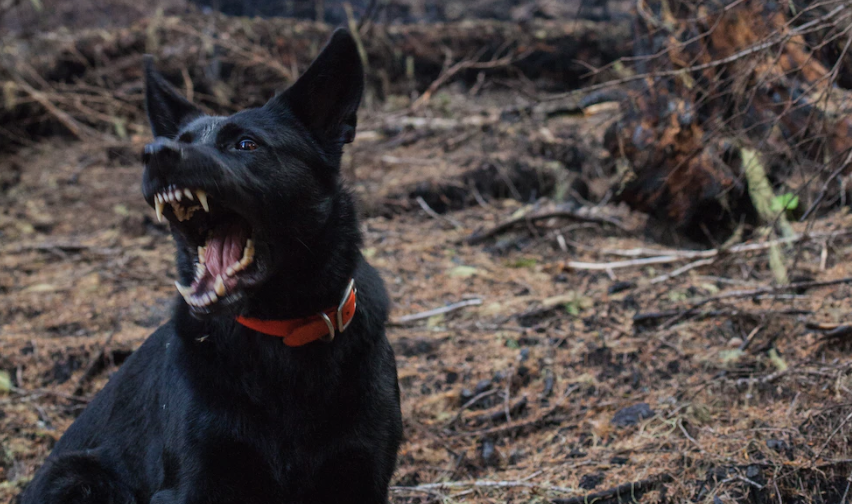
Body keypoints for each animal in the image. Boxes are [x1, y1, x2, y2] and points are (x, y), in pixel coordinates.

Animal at [20, 30, 404, 504]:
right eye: (182, 138)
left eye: (246, 144)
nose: (154, 153)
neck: (282, 334)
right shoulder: (194, 482)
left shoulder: (362, 473)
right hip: (77, 477)